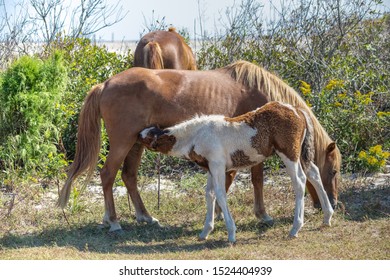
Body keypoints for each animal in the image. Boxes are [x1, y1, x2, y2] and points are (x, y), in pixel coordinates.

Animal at [139, 101, 334, 243]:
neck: (197, 135)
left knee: (300, 181)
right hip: (300, 153)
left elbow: (220, 194)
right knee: (314, 173)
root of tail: (297, 110)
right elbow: (209, 194)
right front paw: (205, 231)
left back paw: (295, 228)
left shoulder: (218, 165)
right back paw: (327, 216)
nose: (136, 135)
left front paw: (231, 233)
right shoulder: (211, 168)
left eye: (147, 136)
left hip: (288, 153)